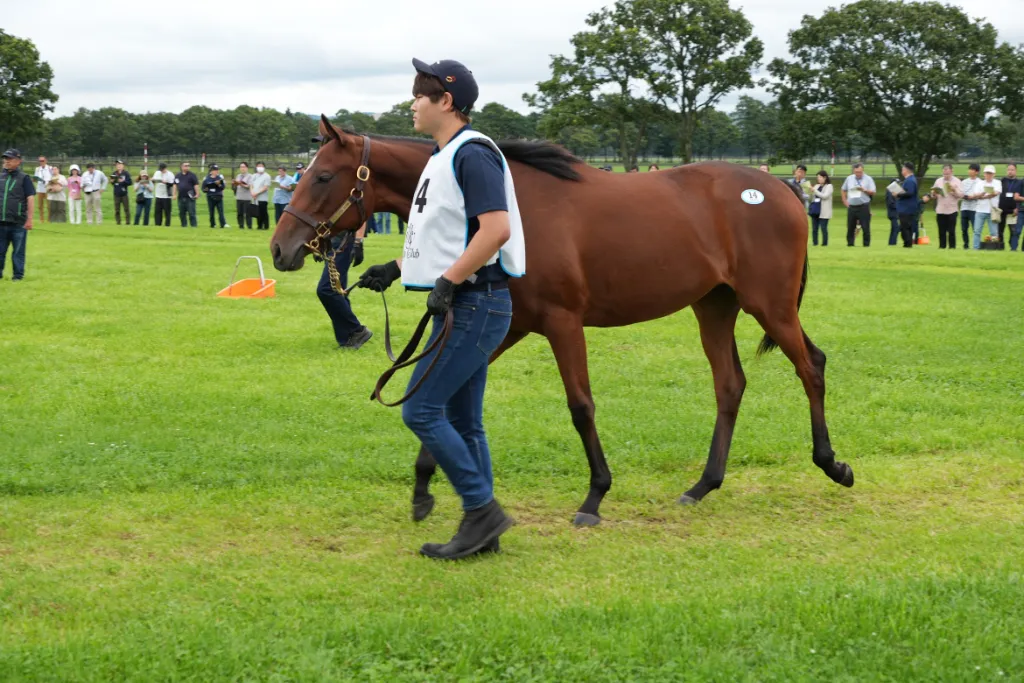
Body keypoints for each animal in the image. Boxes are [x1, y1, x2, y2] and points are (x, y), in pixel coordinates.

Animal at [269, 115, 854, 527]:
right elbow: (442, 394)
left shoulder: (562, 322)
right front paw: (422, 487)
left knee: (812, 366)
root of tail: (780, 190)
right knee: (730, 385)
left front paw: (595, 495)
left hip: (769, 304)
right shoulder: (505, 327)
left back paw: (832, 463)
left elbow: (580, 406)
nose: (281, 248)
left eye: (322, 175)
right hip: (714, 305)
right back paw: (702, 485)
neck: (511, 209)